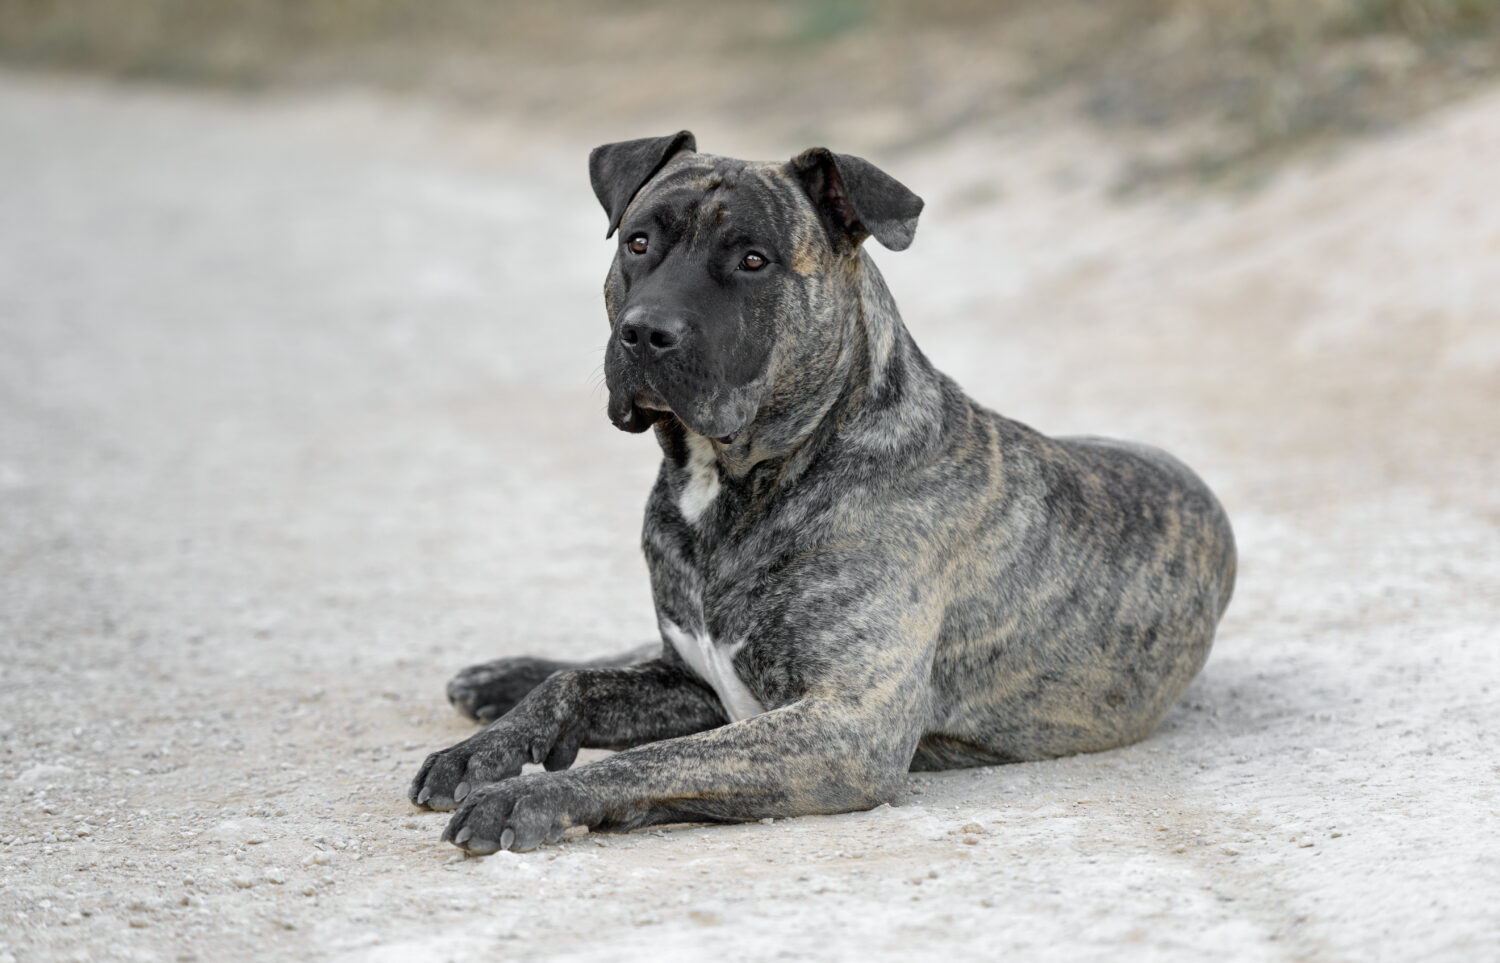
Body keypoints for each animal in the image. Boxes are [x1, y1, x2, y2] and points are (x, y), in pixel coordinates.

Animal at [405, 131, 1236, 852]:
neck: (736, 482)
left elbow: (662, 758)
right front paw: (488, 745)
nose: (645, 332)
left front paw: (532, 792)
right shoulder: (699, 678)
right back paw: (502, 676)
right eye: (637, 242)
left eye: (753, 259)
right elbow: (575, 683)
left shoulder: (841, 729)